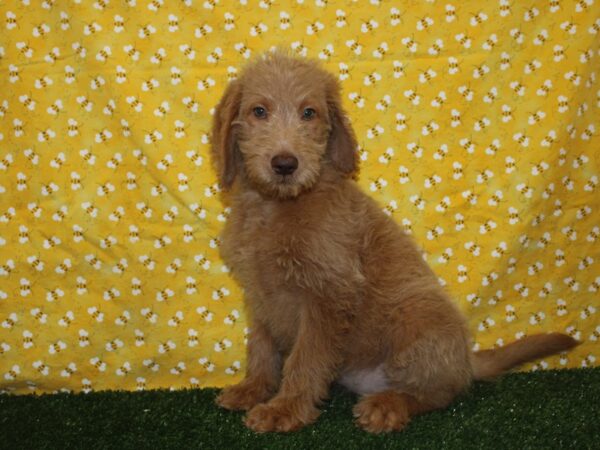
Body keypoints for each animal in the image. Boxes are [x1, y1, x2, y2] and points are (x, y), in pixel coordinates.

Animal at [210, 51, 576, 432]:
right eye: (259, 111)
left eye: (309, 113)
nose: (285, 164)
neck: (274, 207)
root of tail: (466, 360)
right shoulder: (259, 293)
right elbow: (261, 348)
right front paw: (252, 389)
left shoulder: (329, 295)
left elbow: (304, 360)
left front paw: (285, 408)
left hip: (415, 316)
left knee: (441, 393)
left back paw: (388, 405)